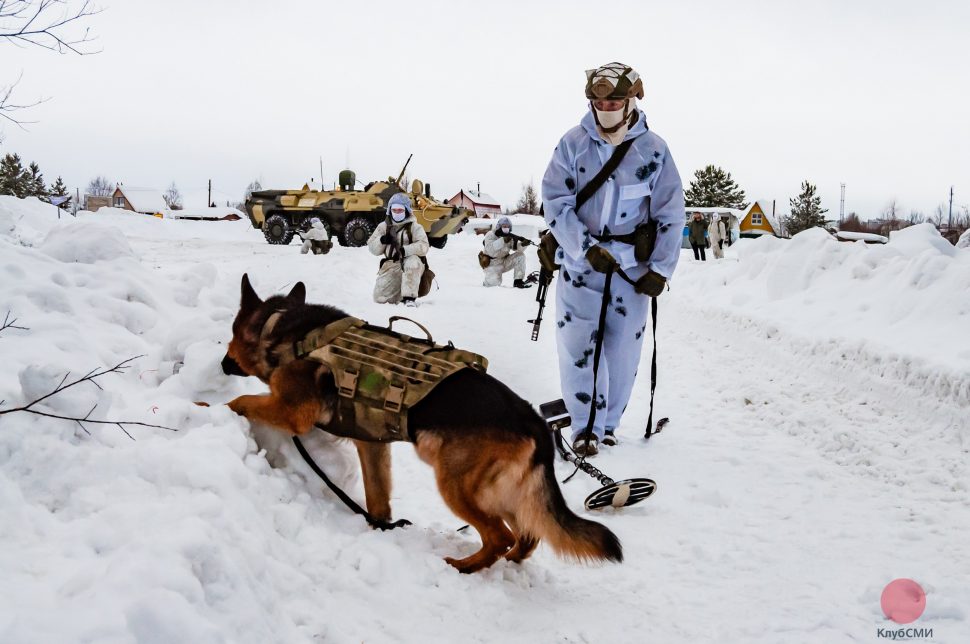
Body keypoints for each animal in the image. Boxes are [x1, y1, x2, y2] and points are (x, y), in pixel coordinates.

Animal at [219, 274, 620, 572]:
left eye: (229, 339)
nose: (223, 364)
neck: (281, 327)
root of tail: (534, 420)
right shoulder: (373, 446)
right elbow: (377, 496)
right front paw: (380, 527)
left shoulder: (291, 412)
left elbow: (242, 401)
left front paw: (212, 404)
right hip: (500, 491)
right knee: (528, 535)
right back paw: (507, 563)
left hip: (456, 484)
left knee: (501, 535)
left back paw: (465, 567)